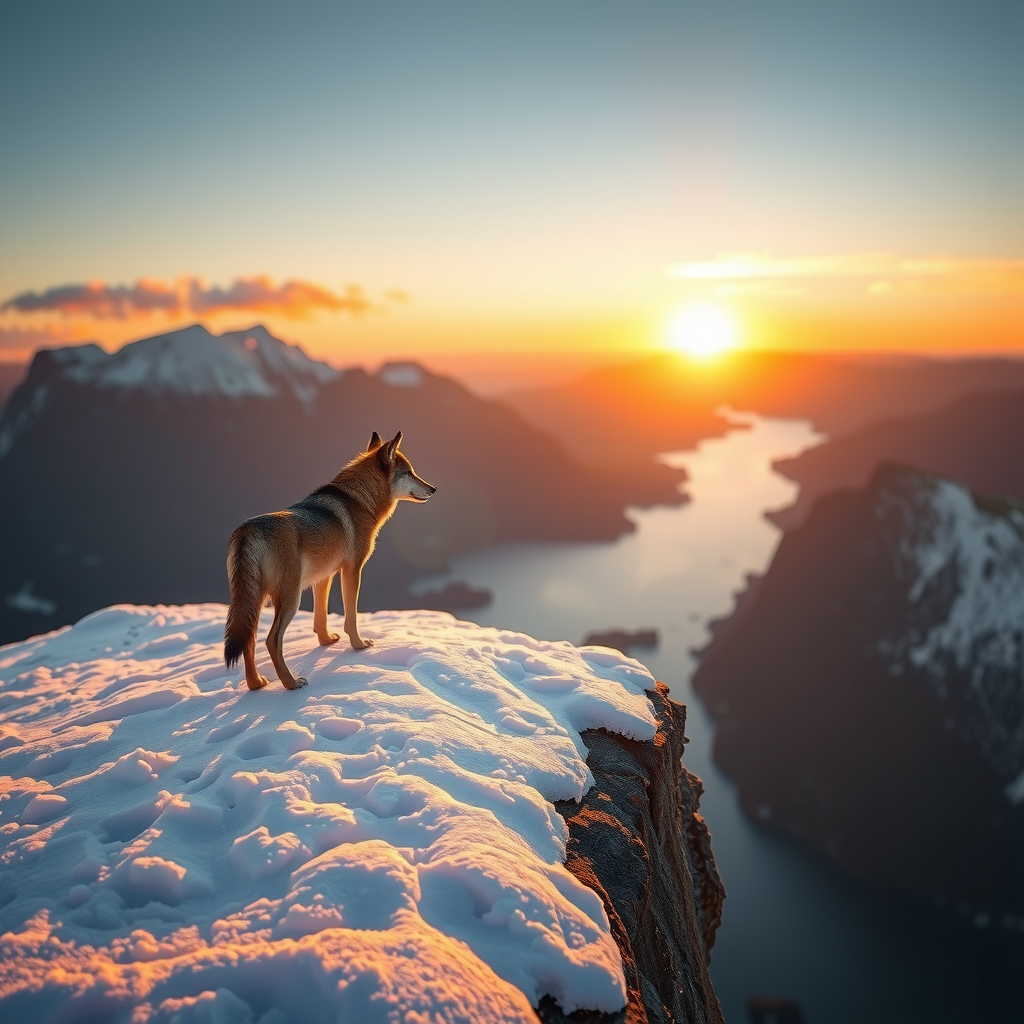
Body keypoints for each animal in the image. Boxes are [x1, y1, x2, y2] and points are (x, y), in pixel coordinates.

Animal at [223, 430, 435, 691]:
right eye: (409, 472)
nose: (433, 489)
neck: (359, 501)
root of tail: (247, 531)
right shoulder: (352, 570)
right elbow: (351, 616)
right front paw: (359, 645)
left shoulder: (324, 576)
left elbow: (321, 617)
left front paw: (326, 642)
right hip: (290, 599)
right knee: (271, 640)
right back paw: (291, 683)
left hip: (257, 600)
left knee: (249, 639)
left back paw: (256, 684)